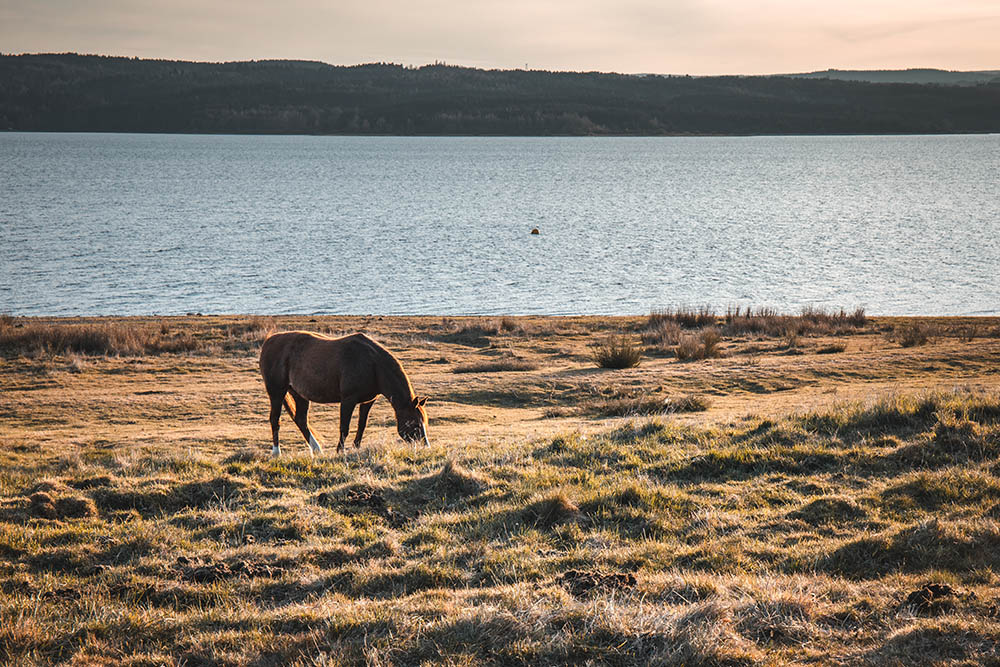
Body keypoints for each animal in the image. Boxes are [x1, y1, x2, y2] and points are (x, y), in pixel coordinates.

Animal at [256, 332, 428, 456]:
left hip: (299, 395)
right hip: (277, 392)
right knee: (275, 419)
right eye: (413, 423)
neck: (372, 364)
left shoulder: (367, 401)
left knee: (301, 420)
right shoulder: (348, 400)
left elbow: (362, 425)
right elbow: (344, 427)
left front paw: (356, 447)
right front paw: (340, 450)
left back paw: (317, 449)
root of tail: (268, 342)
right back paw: (276, 452)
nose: (425, 446)